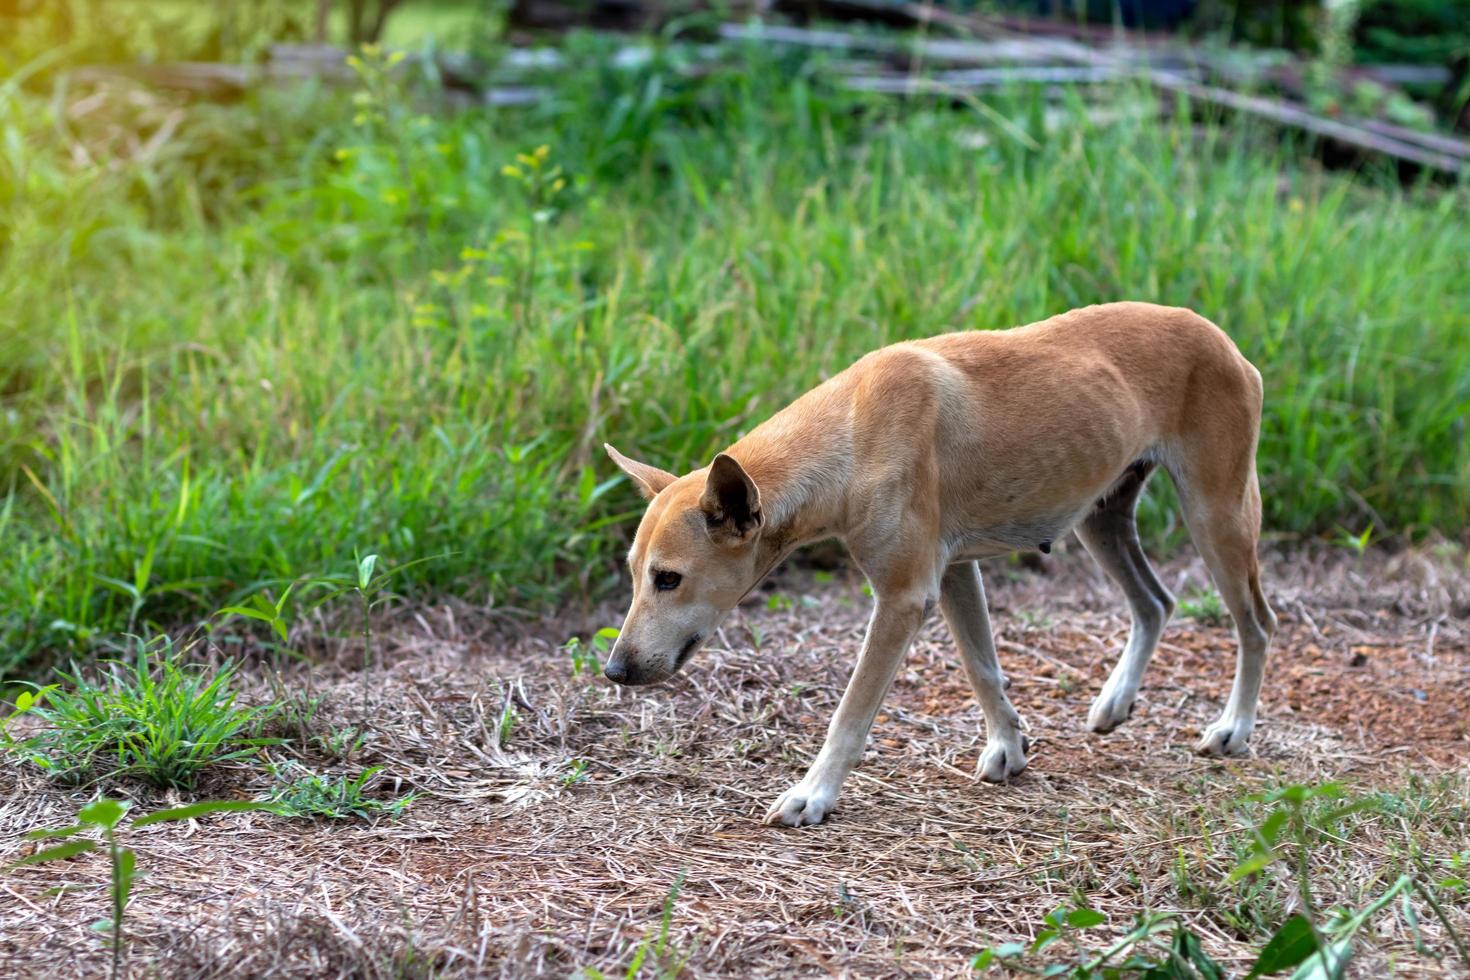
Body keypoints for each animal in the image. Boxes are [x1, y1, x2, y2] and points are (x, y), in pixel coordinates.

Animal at [596, 301, 1275, 828]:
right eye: (633, 575)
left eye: (668, 579)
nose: (615, 670)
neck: (851, 435)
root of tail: (1222, 339)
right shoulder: (952, 575)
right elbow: (984, 669)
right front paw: (1009, 747)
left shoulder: (902, 598)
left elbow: (851, 714)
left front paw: (813, 794)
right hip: (1100, 521)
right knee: (1154, 603)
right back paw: (1116, 701)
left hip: (1217, 518)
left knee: (1257, 624)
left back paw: (1234, 728)